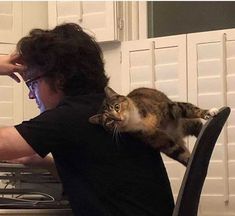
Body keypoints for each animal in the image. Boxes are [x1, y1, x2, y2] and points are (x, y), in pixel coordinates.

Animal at [88, 87, 218, 166]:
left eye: (116, 106)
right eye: (109, 122)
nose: (118, 119)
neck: (136, 120)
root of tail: (180, 136)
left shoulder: (168, 107)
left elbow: (185, 108)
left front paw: (207, 112)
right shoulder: (157, 139)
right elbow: (180, 154)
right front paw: (190, 163)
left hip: (186, 123)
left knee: (197, 125)